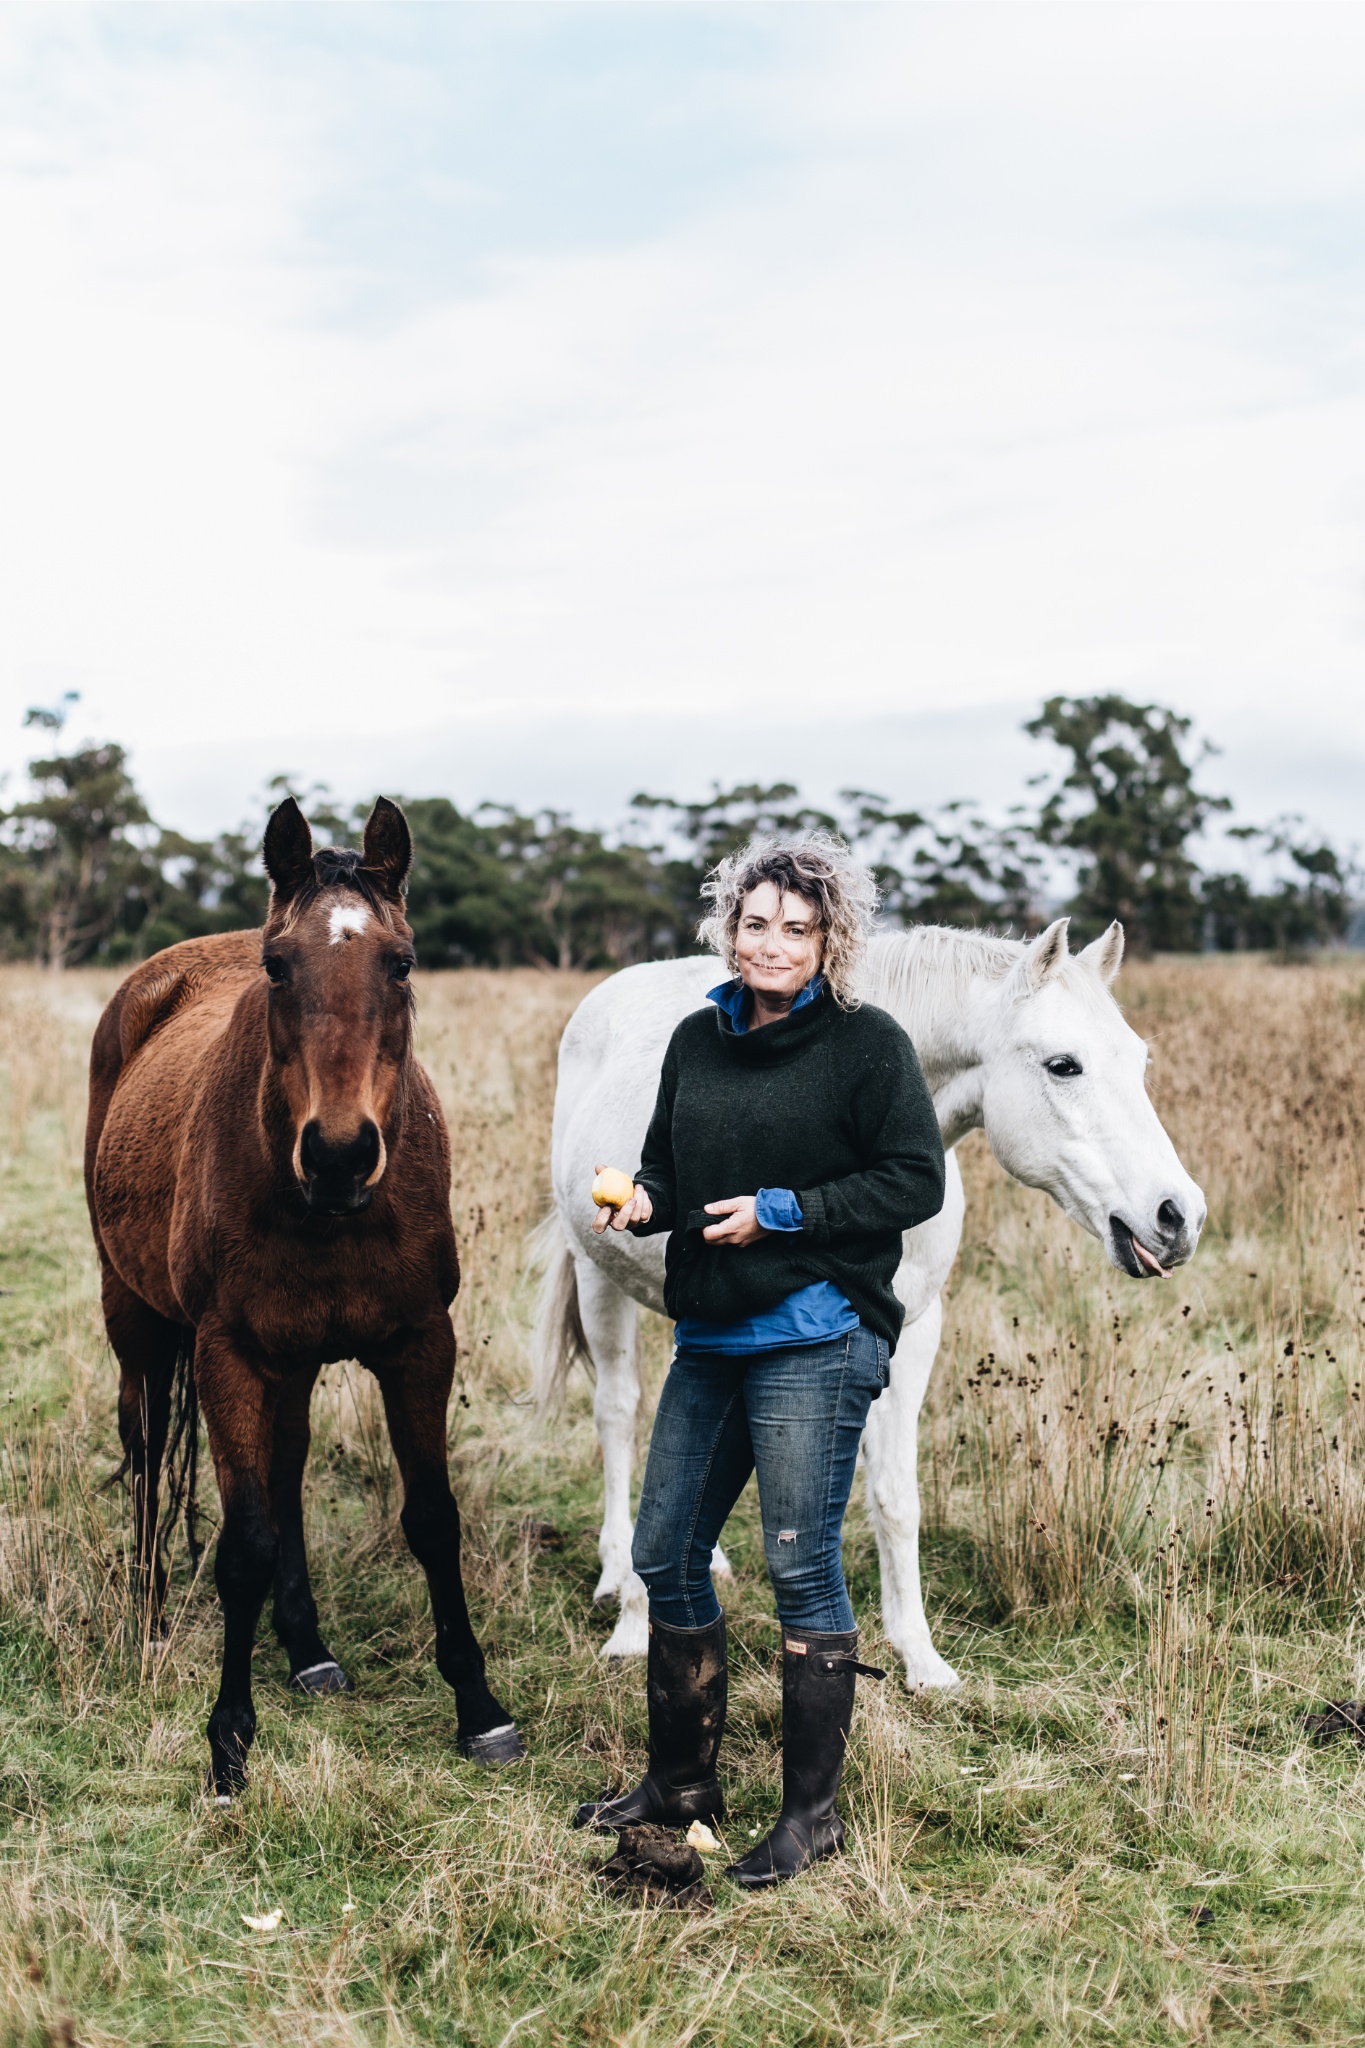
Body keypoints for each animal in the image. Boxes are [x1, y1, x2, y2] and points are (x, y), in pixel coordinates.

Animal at [85, 794, 523, 1794]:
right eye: (279, 967)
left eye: (400, 962)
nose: (337, 1153)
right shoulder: (226, 1353)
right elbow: (243, 1544)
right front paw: (227, 1739)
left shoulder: (418, 1343)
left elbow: (430, 1517)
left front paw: (479, 1707)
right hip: (136, 1317)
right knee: (146, 1446)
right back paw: (149, 1618)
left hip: (289, 1361)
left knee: (282, 1469)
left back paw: (308, 1648)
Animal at [532, 921, 1203, 1671]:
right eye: (1064, 1066)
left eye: (1138, 1061)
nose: (1179, 1216)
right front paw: (635, 1627)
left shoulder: (912, 1329)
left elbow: (894, 1496)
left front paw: (918, 1654)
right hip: (598, 1279)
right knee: (618, 1416)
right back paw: (619, 1581)